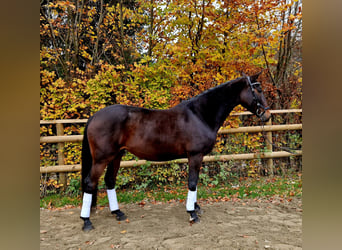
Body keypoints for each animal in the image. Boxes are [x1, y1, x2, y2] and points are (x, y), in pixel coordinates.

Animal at [79, 72, 270, 230]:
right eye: (258, 89)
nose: (267, 115)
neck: (199, 114)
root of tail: (94, 116)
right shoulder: (195, 155)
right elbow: (192, 183)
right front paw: (192, 213)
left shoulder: (197, 157)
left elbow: (195, 182)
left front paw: (196, 208)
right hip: (102, 158)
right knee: (90, 183)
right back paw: (86, 221)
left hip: (116, 156)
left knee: (110, 181)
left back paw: (117, 213)